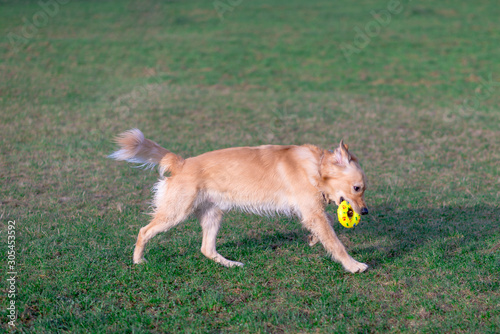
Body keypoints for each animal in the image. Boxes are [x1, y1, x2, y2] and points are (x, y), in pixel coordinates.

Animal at [109, 129, 370, 272]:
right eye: (357, 188)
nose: (365, 212)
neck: (317, 167)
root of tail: (181, 163)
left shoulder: (311, 212)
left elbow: (327, 226)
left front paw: (314, 239)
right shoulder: (312, 211)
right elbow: (336, 243)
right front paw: (354, 265)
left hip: (213, 215)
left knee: (206, 249)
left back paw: (232, 264)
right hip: (175, 213)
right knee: (144, 231)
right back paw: (138, 260)